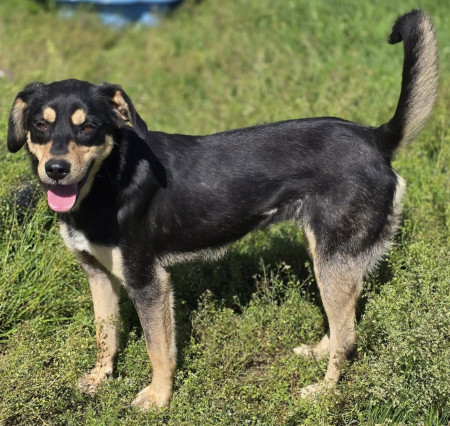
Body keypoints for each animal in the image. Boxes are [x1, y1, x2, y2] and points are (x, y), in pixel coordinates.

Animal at [6, 10, 438, 409]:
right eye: (40, 125)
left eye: (88, 127)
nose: (56, 169)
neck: (110, 179)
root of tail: (375, 137)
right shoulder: (97, 274)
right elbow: (105, 335)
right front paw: (100, 379)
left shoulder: (148, 282)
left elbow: (158, 350)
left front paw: (158, 398)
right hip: (331, 256)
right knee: (345, 317)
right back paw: (319, 351)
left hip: (332, 258)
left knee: (348, 338)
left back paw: (323, 391)